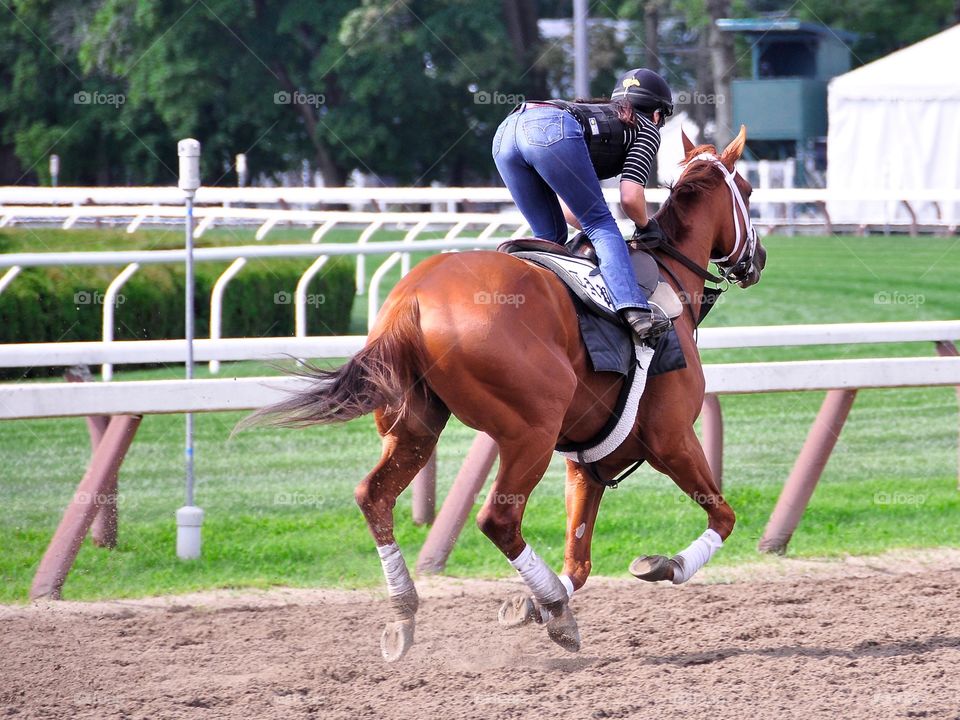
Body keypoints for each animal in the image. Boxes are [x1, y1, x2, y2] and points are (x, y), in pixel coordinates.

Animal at [248, 128, 764, 660]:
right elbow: (723, 517)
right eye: (747, 190)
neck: (669, 285)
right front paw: (662, 566)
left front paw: (532, 604)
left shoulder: (587, 463)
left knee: (374, 497)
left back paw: (404, 615)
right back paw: (556, 609)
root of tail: (412, 298)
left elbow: (580, 561)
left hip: (413, 428)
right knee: (498, 517)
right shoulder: (672, 437)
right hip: (531, 433)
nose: (759, 260)